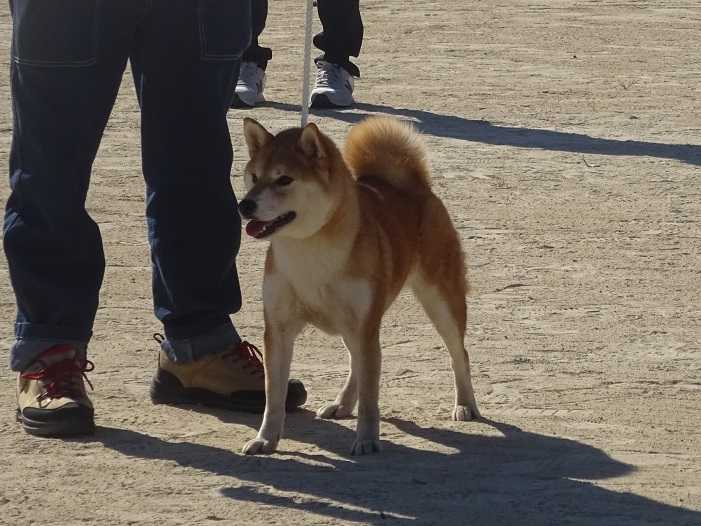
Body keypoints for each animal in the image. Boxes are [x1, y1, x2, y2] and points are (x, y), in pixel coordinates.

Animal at [238, 116, 480, 455]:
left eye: (284, 179)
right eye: (254, 177)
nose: (244, 205)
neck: (309, 250)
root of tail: (415, 187)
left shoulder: (363, 326)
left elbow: (369, 398)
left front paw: (366, 440)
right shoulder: (279, 329)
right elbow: (273, 398)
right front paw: (265, 439)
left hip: (440, 302)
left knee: (459, 354)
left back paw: (466, 404)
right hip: (353, 324)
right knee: (355, 363)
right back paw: (342, 403)